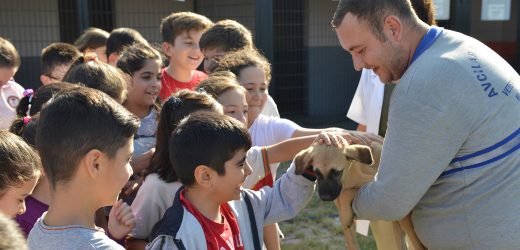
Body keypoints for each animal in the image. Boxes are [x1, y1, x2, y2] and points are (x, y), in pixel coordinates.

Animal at [294, 141, 424, 250]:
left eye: (337, 172)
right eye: (316, 172)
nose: (325, 197)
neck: (349, 176)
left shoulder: (373, 183)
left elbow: (346, 194)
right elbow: (350, 240)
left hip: (406, 221)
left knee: (417, 242)